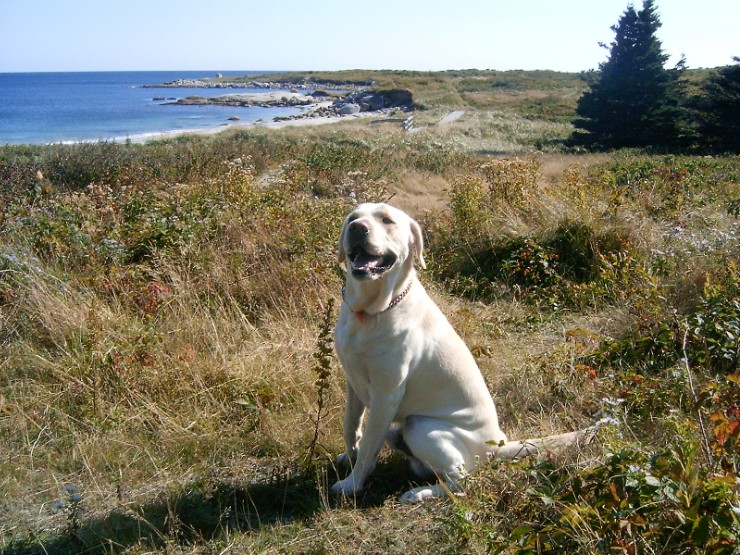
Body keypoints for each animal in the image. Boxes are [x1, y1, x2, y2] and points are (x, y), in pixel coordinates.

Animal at [332, 203, 592, 504]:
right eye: (353, 218)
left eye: (386, 220)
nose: (357, 228)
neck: (369, 313)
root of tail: (497, 445)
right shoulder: (353, 382)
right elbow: (351, 426)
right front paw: (348, 457)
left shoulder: (386, 395)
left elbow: (368, 447)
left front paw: (352, 483)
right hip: (398, 431)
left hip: (419, 425)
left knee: (462, 480)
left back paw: (418, 493)